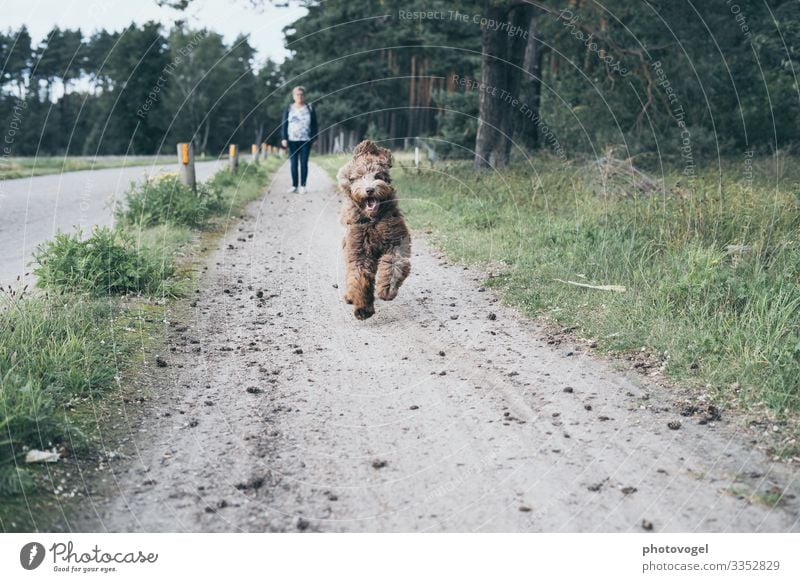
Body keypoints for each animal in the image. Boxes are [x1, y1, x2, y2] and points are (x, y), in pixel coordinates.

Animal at [336, 142, 412, 324]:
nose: (370, 189)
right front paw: (363, 309)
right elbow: (359, 277)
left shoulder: (396, 243)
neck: (373, 220)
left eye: (378, 175)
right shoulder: (359, 252)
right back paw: (350, 297)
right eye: (359, 177)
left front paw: (387, 289)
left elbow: (393, 265)